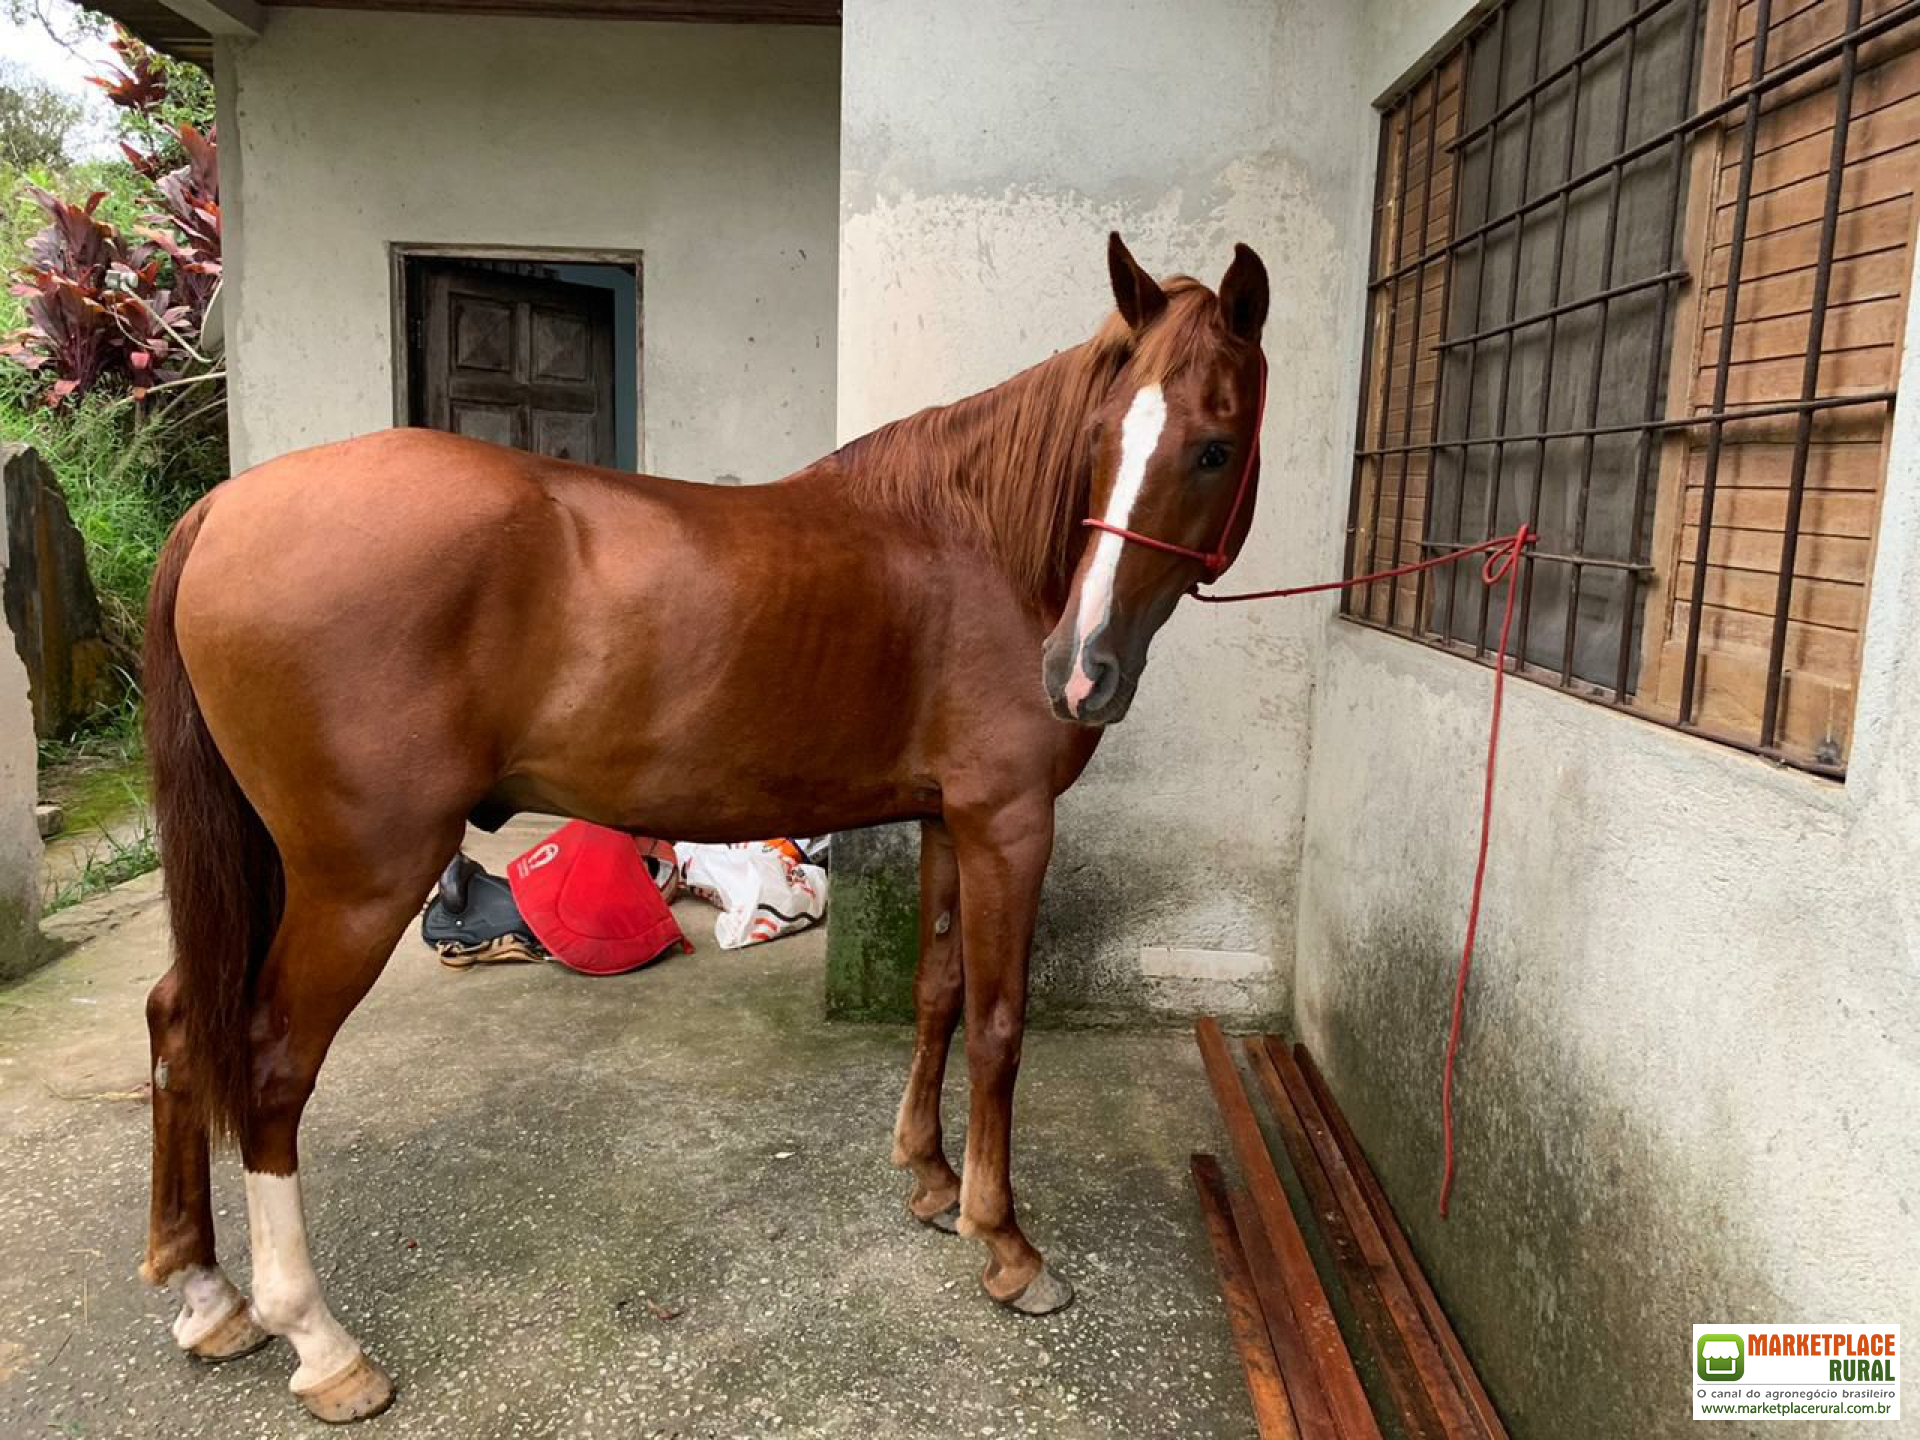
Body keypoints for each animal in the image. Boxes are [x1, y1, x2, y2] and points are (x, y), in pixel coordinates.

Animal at [142, 234, 1267, 1420]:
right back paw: (319, 1342)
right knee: (268, 1064)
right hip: (358, 880)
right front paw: (1006, 1244)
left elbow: (937, 993)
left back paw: (209, 1298)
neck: (982, 542)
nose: (1081, 672)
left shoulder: (948, 822)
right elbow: (1000, 1025)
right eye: (1107, 439)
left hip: (270, 865)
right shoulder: (1008, 824)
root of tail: (225, 511)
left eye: (1212, 446)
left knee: (180, 1021)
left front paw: (929, 1178)